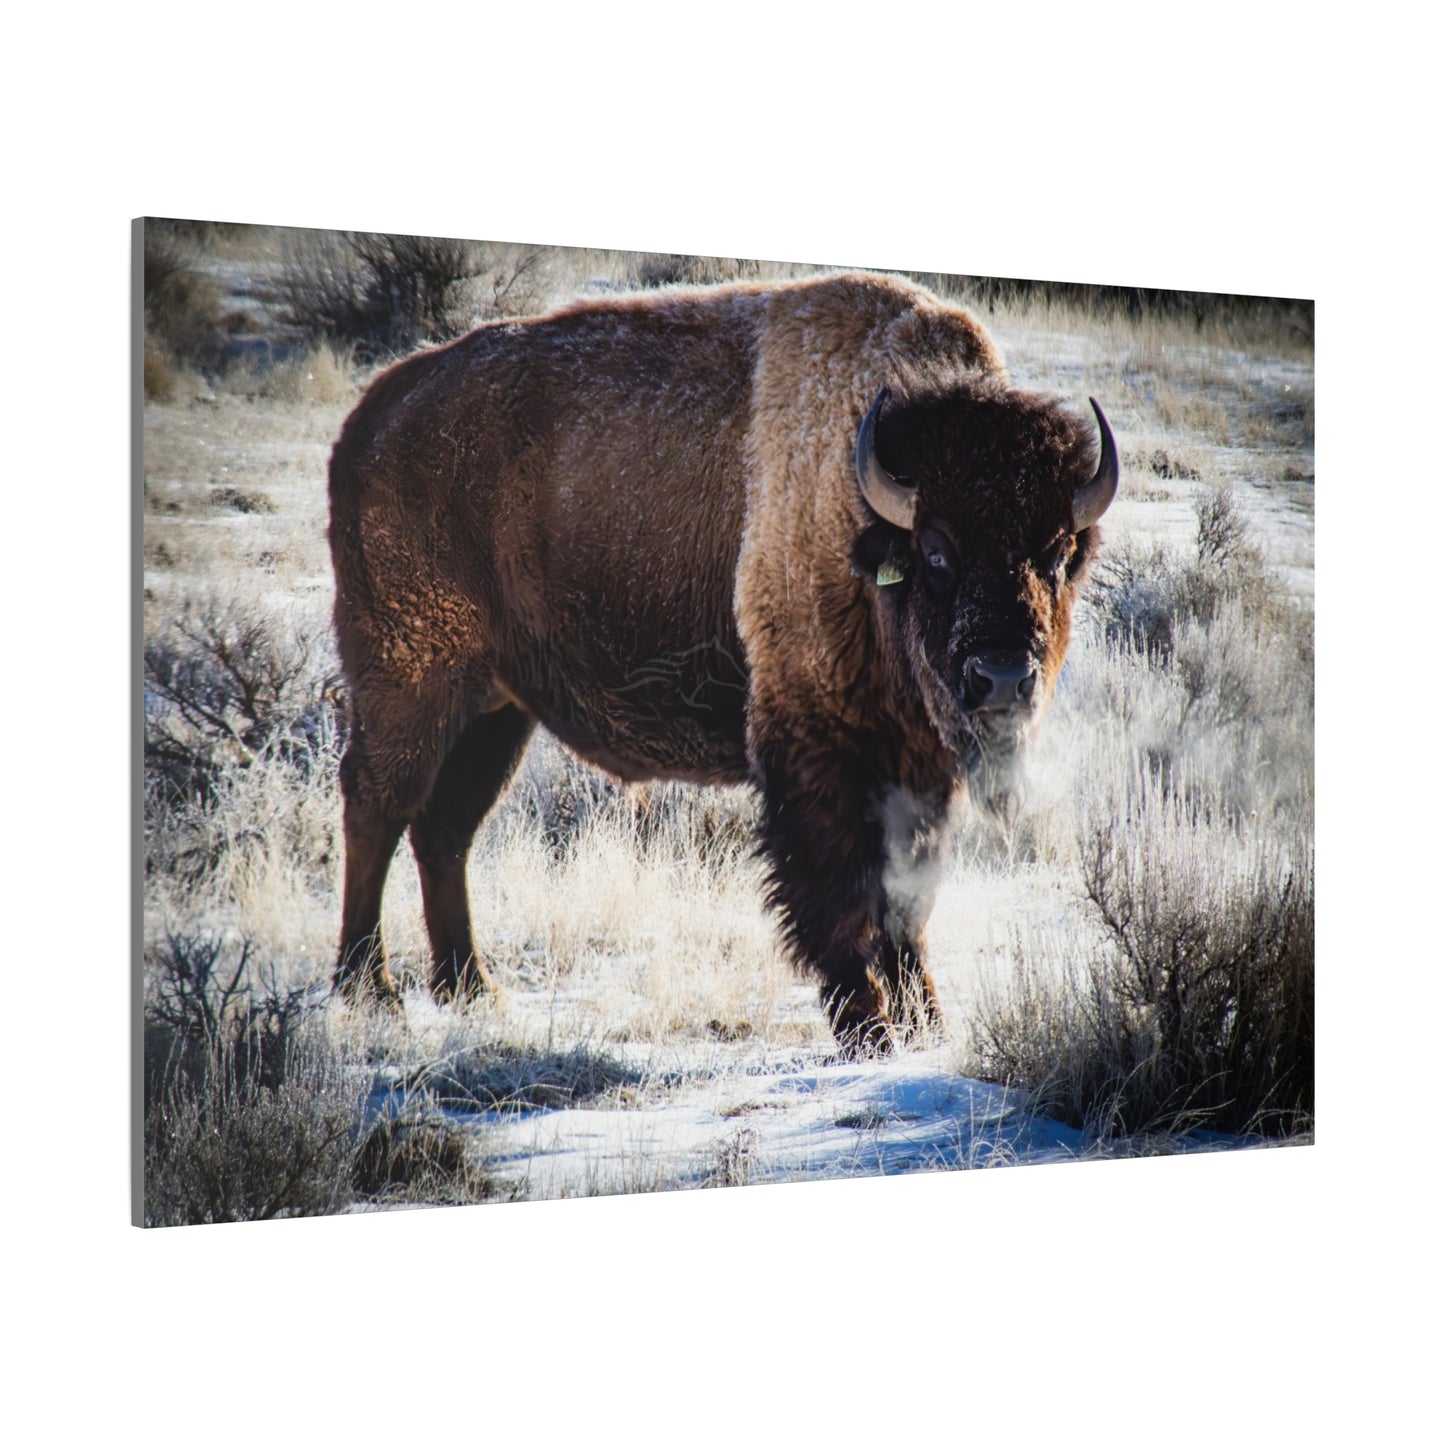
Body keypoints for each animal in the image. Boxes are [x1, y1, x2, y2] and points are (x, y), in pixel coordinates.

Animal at [327, 271, 1116, 1052]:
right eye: (936, 551)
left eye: (1055, 553)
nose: (1002, 678)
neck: (865, 518)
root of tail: (372, 416)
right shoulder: (819, 748)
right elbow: (840, 892)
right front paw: (869, 1029)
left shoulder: (918, 766)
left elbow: (907, 899)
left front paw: (927, 1023)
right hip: (411, 680)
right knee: (377, 806)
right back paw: (370, 989)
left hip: (496, 710)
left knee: (445, 829)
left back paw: (469, 987)